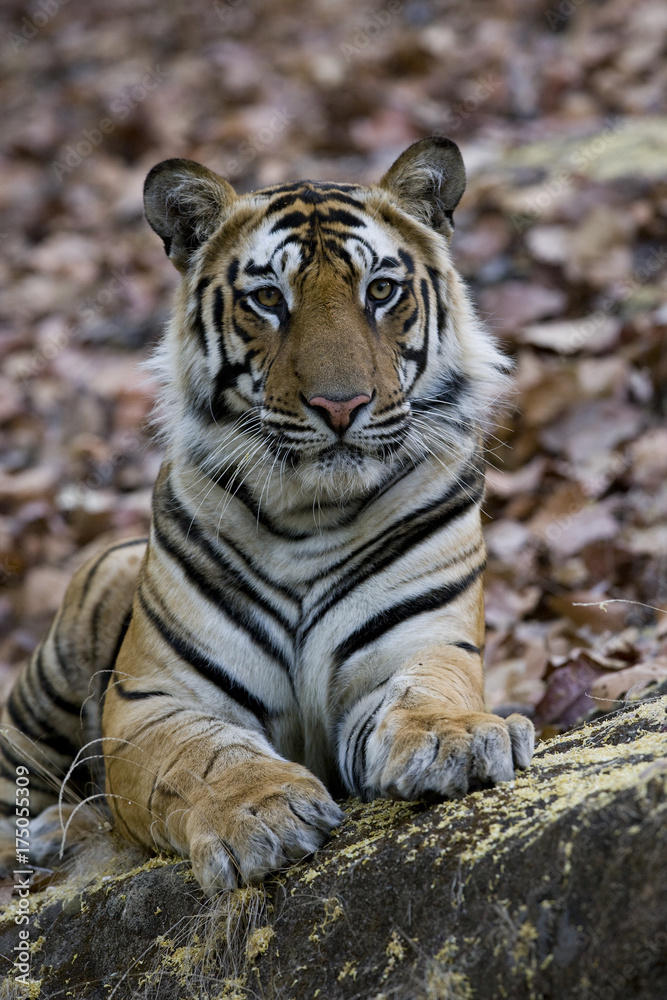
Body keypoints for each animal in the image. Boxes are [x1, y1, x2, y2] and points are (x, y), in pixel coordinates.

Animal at [0, 137, 534, 895]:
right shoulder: (152, 700)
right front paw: (261, 812)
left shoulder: (423, 643)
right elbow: (202, 757)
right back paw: (47, 833)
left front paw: (452, 740)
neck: (309, 515)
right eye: (268, 300)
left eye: (380, 291)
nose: (341, 406)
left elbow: (426, 692)